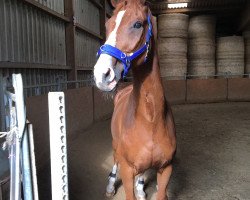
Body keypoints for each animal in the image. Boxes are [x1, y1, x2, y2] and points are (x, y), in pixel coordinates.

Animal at [93, 0, 177, 199]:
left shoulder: (166, 169)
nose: (102, 75)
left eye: (138, 24)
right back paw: (110, 187)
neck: (151, 119)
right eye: (108, 25)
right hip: (115, 146)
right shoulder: (127, 170)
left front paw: (140, 189)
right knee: (115, 161)